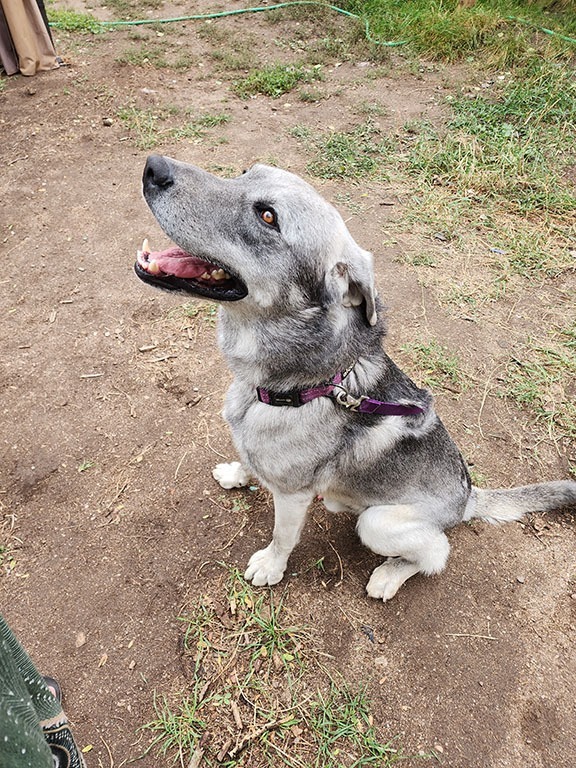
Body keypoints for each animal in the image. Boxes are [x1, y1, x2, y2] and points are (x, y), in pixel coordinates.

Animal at [136, 154, 576, 600]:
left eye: (268, 216)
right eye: (245, 173)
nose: (154, 167)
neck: (303, 388)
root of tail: (466, 498)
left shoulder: (292, 496)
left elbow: (282, 538)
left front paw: (271, 567)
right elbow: (248, 461)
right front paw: (237, 473)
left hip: (378, 523)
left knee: (435, 552)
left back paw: (389, 575)